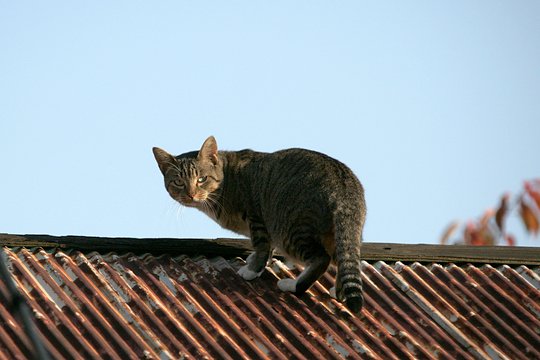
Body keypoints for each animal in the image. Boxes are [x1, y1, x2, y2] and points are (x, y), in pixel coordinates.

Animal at [154, 136, 370, 314]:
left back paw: (294, 286)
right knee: (345, 259)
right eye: (179, 182)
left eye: (201, 179)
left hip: (290, 229)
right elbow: (267, 248)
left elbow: (262, 246)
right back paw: (339, 292)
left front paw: (252, 269)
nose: (191, 194)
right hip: (339, 235)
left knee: (321, 259)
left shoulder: (257, 218)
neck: (226, 179)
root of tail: (345, 188)